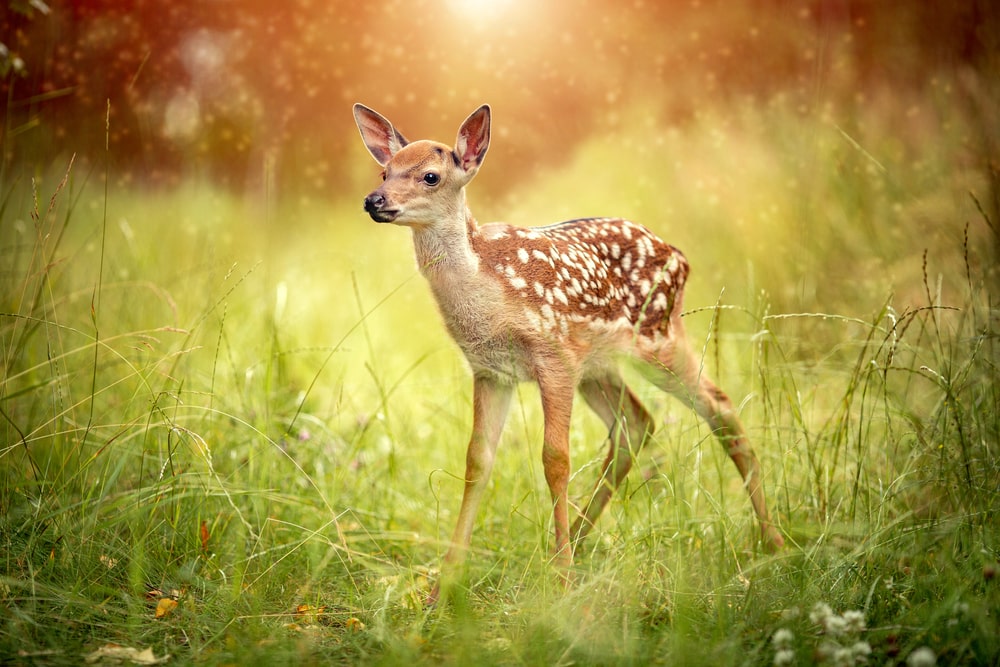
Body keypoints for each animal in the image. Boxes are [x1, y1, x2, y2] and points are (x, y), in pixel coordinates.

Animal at [352, 103, 784, 602]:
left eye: (430, 176)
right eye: (384, 171)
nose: (374, 200)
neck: (488, 286)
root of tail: (680, 256)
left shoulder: (552, 353)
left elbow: (555, 459)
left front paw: (560, 585)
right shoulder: (490, 370)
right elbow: (477, 460)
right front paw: (442, 587)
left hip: (658, 336)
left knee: (719, 405)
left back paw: (772, 542)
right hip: (598, 365)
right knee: (636, 424)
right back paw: (568, 543)